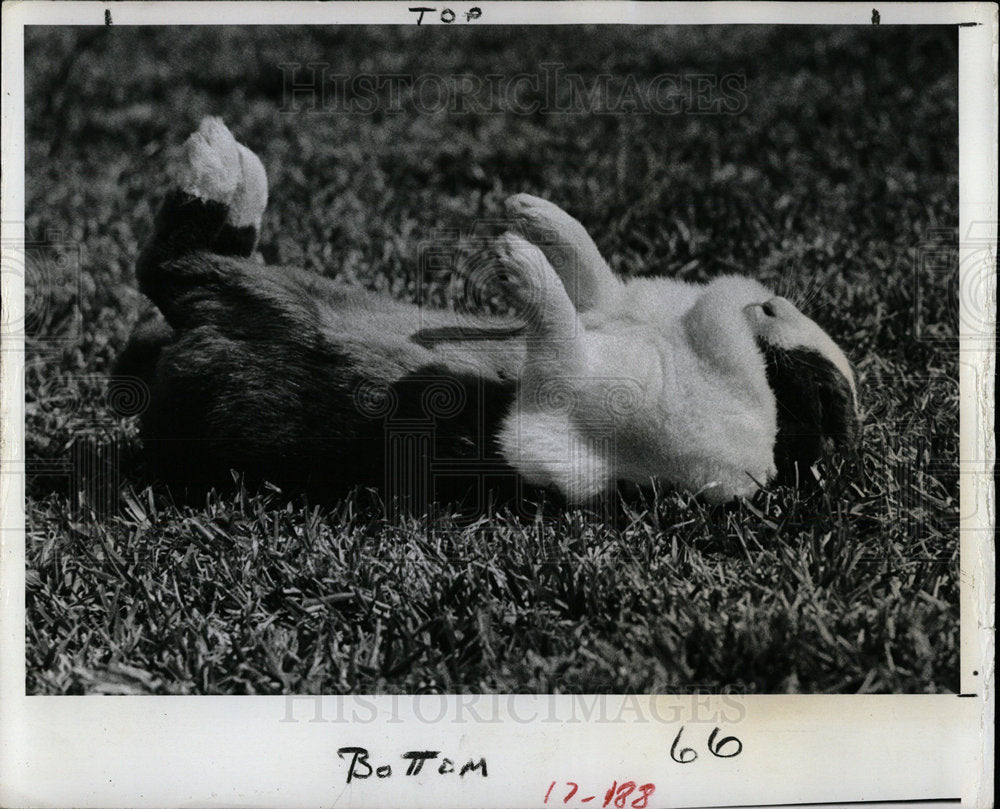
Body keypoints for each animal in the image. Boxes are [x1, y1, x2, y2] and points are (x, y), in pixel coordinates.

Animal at [113, 117, 856, 508]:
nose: (766, 298)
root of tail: (166, 347)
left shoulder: (556, 424)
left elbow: (558, 330)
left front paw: (515, 257)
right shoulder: (607, 316)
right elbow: (590, 281)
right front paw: (533, 215)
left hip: (219, 291)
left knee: (168, 260)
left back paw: (215, 159)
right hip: (265, 283)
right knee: (192, 251)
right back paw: (236, 166)